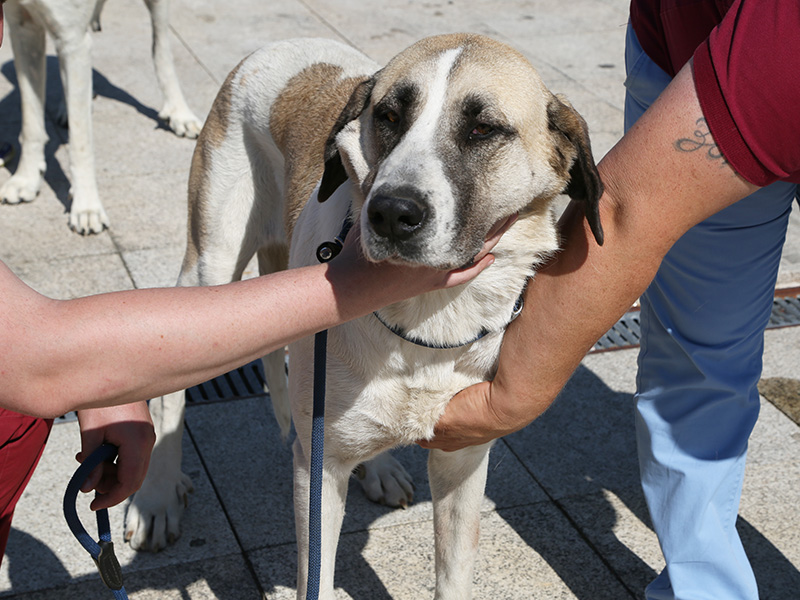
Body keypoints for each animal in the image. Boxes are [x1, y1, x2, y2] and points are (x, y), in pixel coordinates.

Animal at [1, 0, 202, 233]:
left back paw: (180, 113)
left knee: (161, 49)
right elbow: (31, 124)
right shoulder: (24, 27)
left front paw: (87, 207)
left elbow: (81, 144)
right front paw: (25, 179)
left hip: (158, 10)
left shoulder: (72, 40)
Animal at [131, 34, 604, 600]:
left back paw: (378, 466)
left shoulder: (463, 459)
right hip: (210, 265)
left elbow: (453, 574)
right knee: (170, 390)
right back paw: (156, 496)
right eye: (389, 116)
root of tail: (279, 44)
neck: (425, 324)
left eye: (483, 129)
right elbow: (316, 576)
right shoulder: (317, 473)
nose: (392, 213)